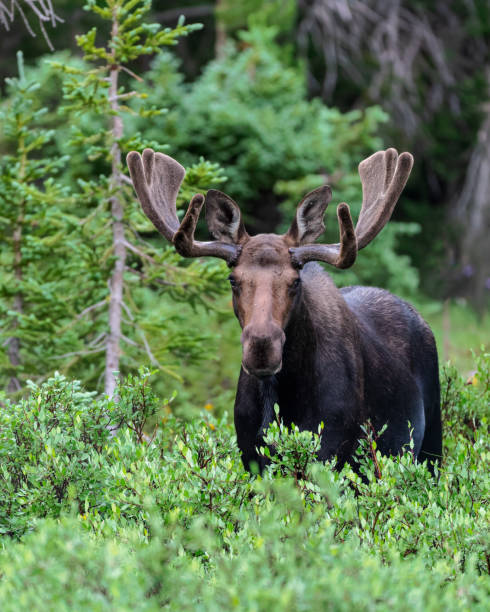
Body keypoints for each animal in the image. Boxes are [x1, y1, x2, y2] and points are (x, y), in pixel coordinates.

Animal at [128, 147, 442, 474]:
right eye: (233, 280)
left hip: (432, 444)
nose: (262, 347)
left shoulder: (332, 451)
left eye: (295, 281)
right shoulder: (251, 456)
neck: (279, 400)